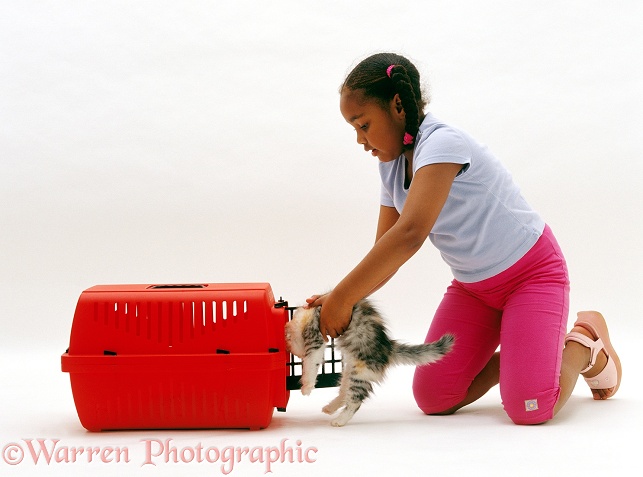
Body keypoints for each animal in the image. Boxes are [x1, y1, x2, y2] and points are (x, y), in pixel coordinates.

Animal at [284, 300, 456, 426]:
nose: (295, 352)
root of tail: (387, 348)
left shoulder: (316, 339)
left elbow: (311, 365)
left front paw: (306, 387)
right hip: (350, 371)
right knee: (344, 393)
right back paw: (329, 408)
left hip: (361, 373)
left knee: (354, 401)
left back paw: (339, 420)